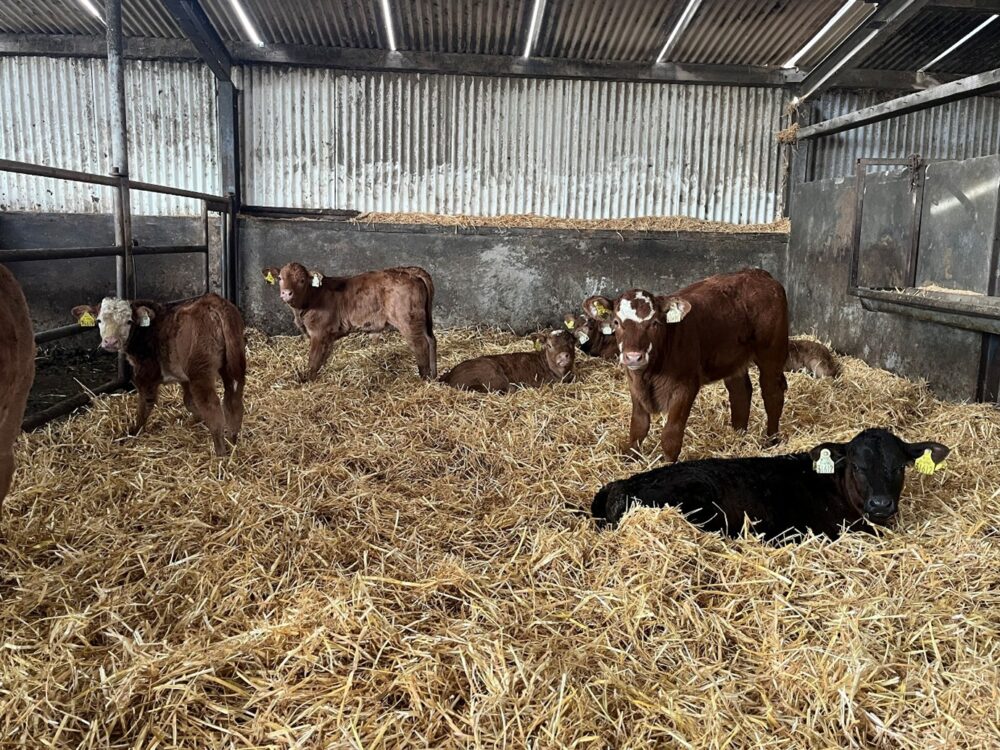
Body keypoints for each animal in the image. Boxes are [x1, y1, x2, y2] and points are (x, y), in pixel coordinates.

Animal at [70, 293, 246, 456]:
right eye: (99, 320)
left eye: (129, 321)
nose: (110, 342)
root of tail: (212, 301)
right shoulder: (183, 375)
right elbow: (188, 401)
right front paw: (196, 420)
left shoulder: (146, 374)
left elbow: (145, 405)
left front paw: (132, 432)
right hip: (233, 362)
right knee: (233, 401)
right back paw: (233, 440)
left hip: (200, 372)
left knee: (212, 407)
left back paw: (220, 453)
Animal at [261, 262, 436, 382]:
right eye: (280, 278)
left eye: (302, 280)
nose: (286, 293)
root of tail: (408, 271)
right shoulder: (328, 336)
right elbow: (322, 359)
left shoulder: (319, 333)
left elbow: (313, 360)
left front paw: (307, 381)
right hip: (422, 320)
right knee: (431, 340)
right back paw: (433, 376)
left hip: (408, 321)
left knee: (420, 344)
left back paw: (424, 378)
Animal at [584, 269, 789, 463]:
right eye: (616, 322)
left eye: (655, 323)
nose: (633, 357)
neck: (649, 374)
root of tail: (758, 273)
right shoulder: (634, 384)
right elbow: (638, 426)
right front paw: (629, 458)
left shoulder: (685, 386)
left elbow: (671, 433)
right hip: (733, 357)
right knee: (740, 392)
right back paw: (738, 436)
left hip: (771, 352)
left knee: (772, 393)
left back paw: (771, 440)